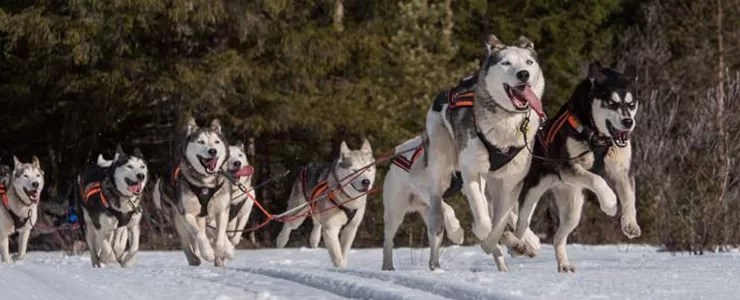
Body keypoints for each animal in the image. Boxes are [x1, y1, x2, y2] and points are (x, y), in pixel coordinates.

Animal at [155, 117, 236, 268]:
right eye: (201, 141)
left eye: (216, 141)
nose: (212, 151)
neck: (205, 184)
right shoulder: (187, 213)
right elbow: (199, 234)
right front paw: (208, 253)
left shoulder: (222, 210)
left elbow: (220, 237)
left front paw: (221, 252)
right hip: (178, 219)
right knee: (186, 241)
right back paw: (194, 258)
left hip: (206, 216)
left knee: (213, 231)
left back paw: (226, 251)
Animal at [278, 139, 378, 268]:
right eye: (354, 170)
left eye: (368, 170)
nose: (366, 182)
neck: (347, 199)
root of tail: (308, 167)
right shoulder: (331, 229)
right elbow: (337, 256)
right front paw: (341, 268)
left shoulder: (351, 228)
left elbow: (343, 252)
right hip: (298, 214)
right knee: (288, 225)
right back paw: (281, 241)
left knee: (317, 223)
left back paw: (314, 239)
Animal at [384, 135, 540, 270]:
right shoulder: (423, 185)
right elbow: (448, 209)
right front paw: (456, 232)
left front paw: (525, 242)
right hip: (395, 213)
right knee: (388, 241)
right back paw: (388, 267)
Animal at [420, 35, 548, 272]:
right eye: (506, 63)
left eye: (529, 62)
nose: (523, 74)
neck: (507, 123)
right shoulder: (471, 172)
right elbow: (483, 223)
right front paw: (496, 241)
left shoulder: (511, 181)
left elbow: (499, 223)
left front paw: (515, 243)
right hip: (442, 170)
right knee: (438, 211)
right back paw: (441, 253)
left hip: (494, 184)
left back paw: (521, 246)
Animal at [516, 62, 640, 272]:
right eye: (612, 103)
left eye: (631, 104)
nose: (628, 122)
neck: (599, 137)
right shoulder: (569, 167)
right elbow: (597, 180)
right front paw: (609, 204)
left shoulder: (623, 170)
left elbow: (629, 197)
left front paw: (630, 222)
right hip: (532, 192)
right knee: (520, 222)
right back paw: (520, 244)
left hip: (572, 208)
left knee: (558, 237)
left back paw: (564, 264)